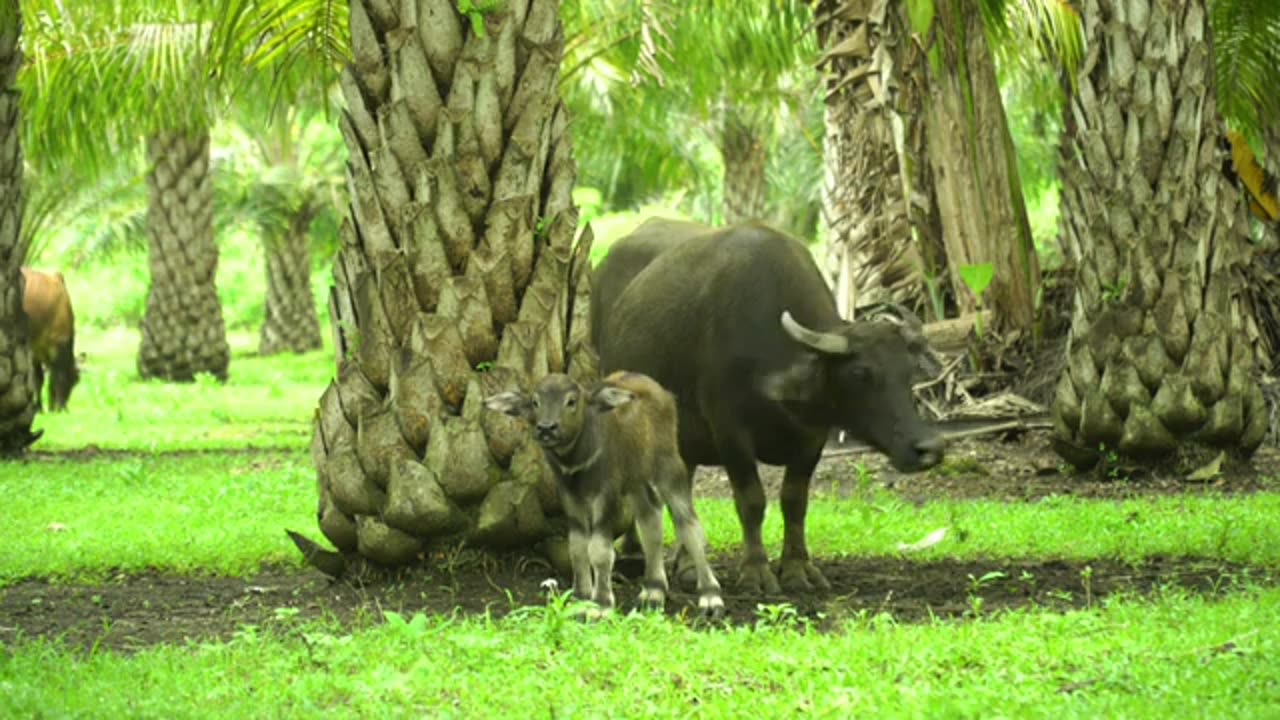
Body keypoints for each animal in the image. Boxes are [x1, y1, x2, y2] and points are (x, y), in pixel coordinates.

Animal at [21, 265, 79, 412]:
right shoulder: (57, 341)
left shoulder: (35, 348)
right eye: (74, 379)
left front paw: (39, 407)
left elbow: (38, 379)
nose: (62, 407)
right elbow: (56, 376)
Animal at [481, 368, 721, 617]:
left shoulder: (606, 496)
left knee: (690, 526)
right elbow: (577, 547)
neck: (577, 460)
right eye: (535, 402)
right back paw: (653, 591)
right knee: (651, 520)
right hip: (636, 482)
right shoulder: (570, 496)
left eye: (571, 401)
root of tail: (664, 394)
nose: (546, 428)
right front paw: (581, 599)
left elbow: (599, 550)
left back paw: (710, 597)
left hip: (669, 468)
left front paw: (601, 604)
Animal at [588, 215, 942, 591]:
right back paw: (634, 554)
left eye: (909, 372)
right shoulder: (730, 430)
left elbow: (795, 501)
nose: (929, 448)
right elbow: (752, 500)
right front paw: (756, 570)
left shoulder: (813, 437)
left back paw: (686, 565)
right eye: (860, 373)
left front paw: (798, 568)